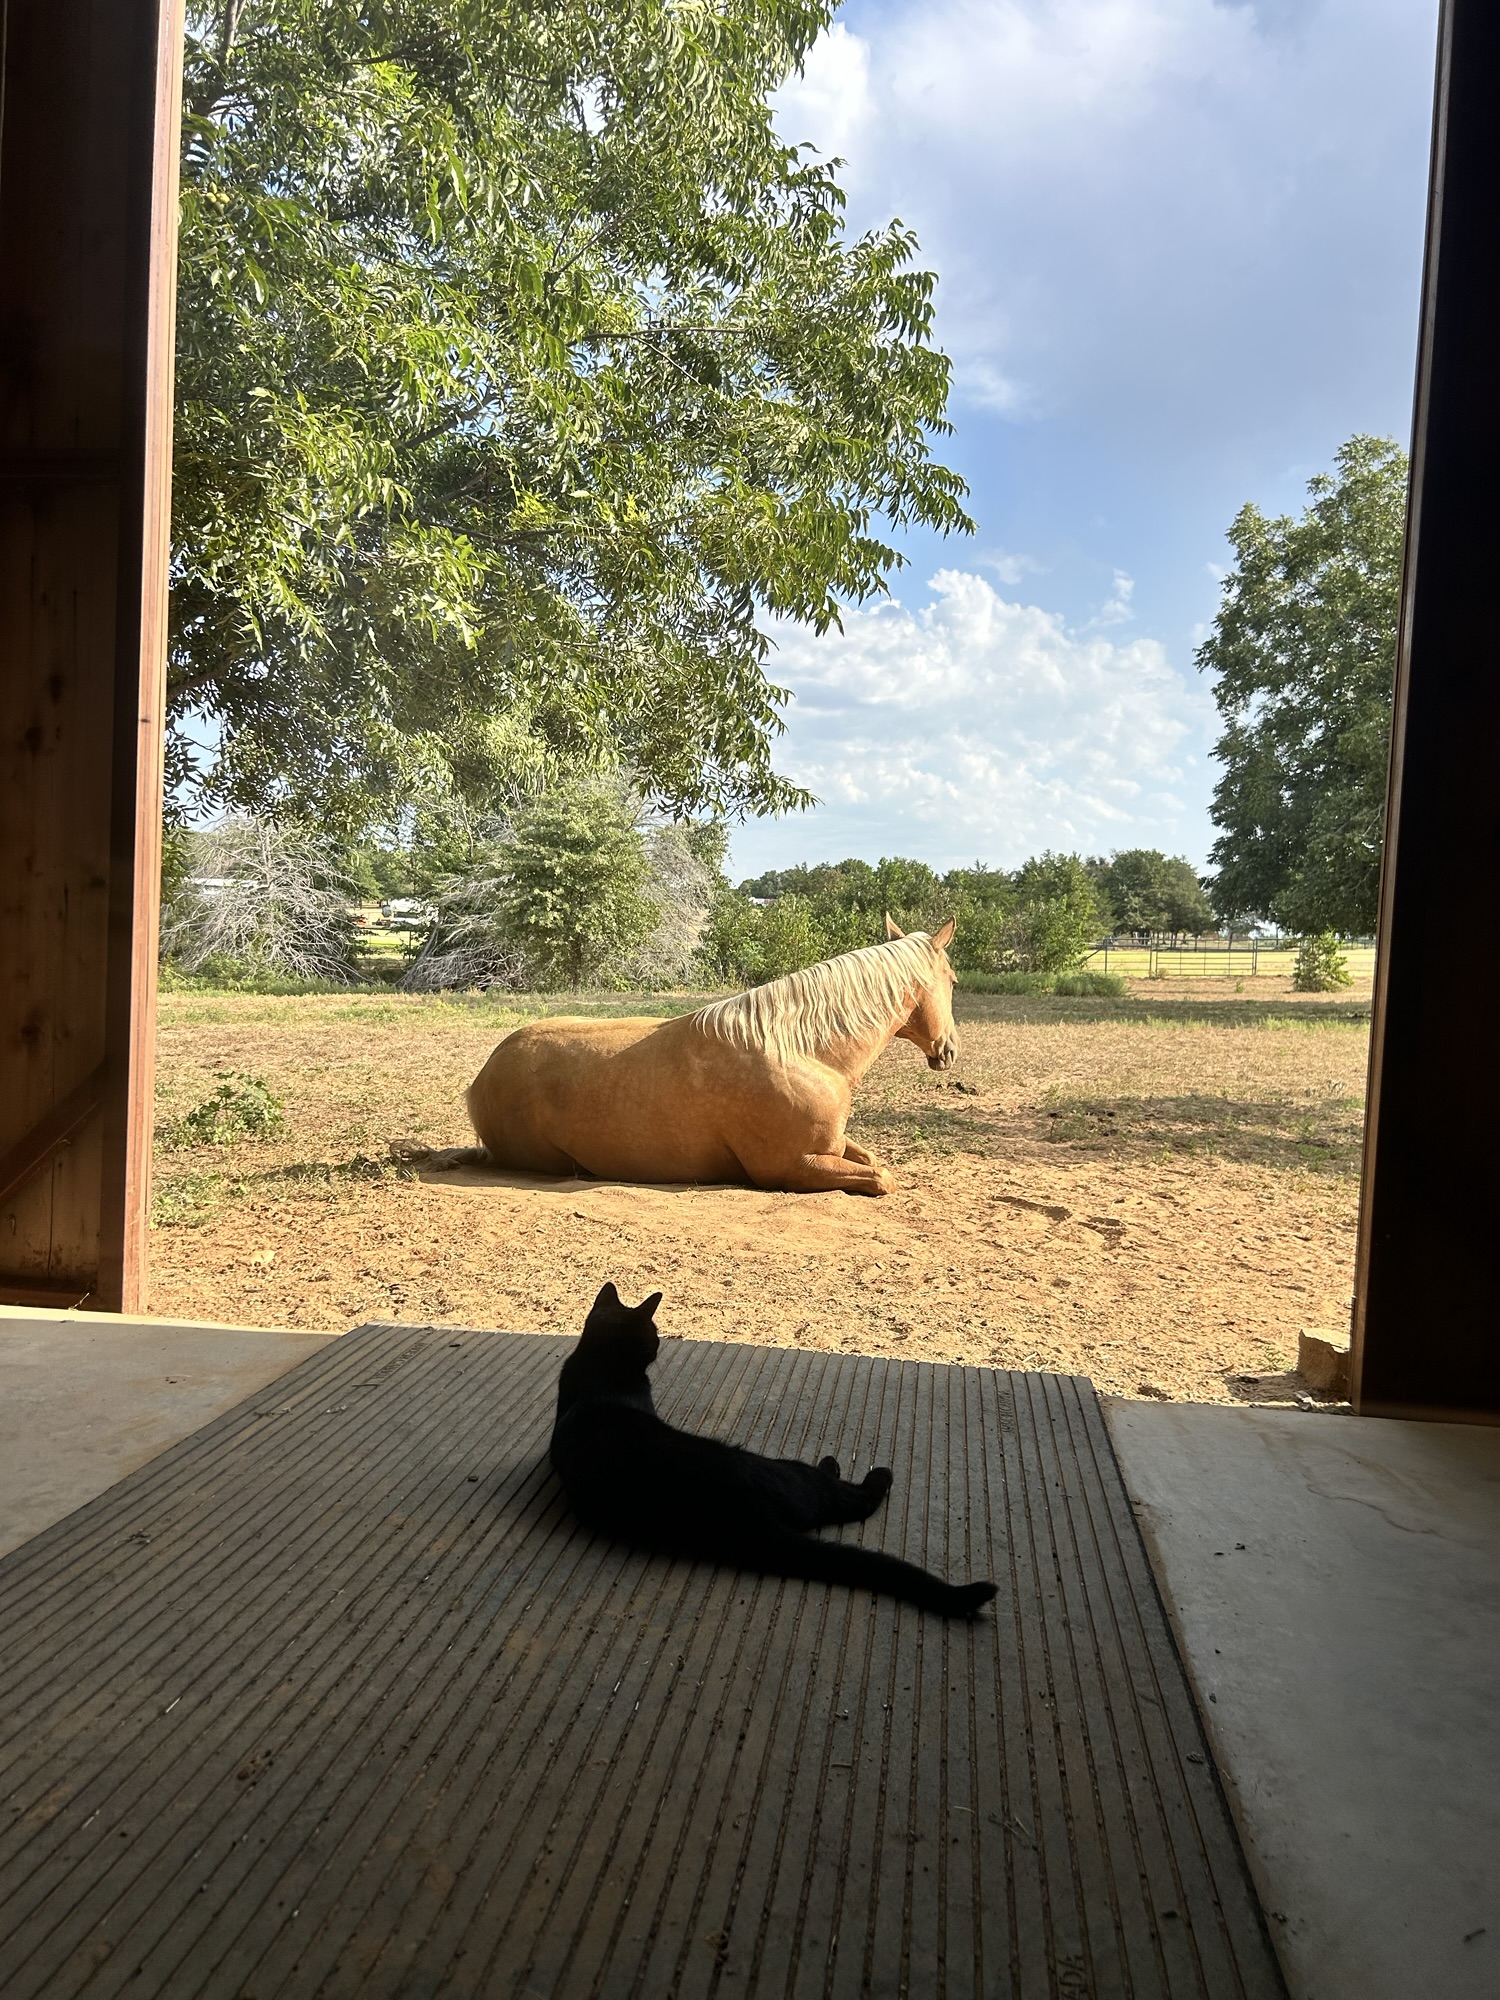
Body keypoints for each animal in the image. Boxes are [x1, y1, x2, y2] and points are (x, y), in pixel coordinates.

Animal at [462, 919, 957, 1196]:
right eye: (952, 980)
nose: (948, 1049)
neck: (804, 1052)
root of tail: (482, 1075)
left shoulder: (832, 1146)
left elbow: (873, 1161)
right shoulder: (794, 1167)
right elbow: (882, 1178)